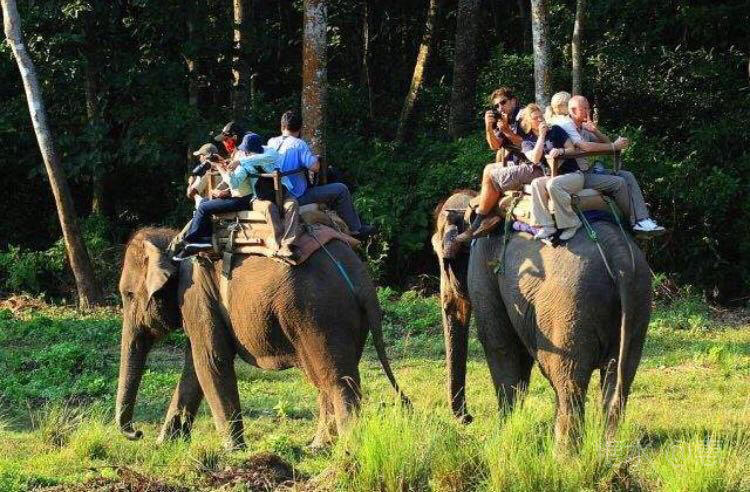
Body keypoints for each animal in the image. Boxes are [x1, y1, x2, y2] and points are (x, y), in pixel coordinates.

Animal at [115, 227, 407, 450]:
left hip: (319, 313)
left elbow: (210, 361)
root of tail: (359, 276)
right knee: (329, 377)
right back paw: (318, 447)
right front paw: (165, 445)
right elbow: (195, 369)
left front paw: (233, 452)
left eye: (128, 295)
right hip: (344, 319)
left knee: (336, 381)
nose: (137, 432)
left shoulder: (195, 293)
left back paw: (347, 448)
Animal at [432, 190, 651, 444]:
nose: (468, 418)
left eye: (443, 260)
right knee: (619, 379)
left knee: (568, 381)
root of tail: (619, 259)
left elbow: (500, 345)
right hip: (639, 301)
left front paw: (504, 435)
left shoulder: (482, 267)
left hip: (569, 309)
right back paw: (607, 447)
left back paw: (563, 451)